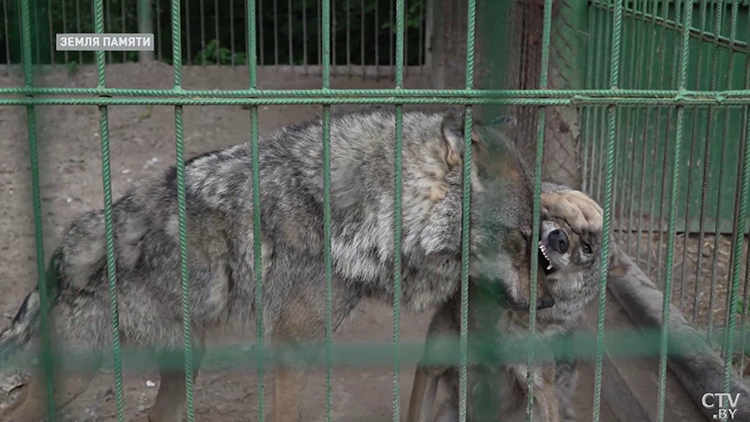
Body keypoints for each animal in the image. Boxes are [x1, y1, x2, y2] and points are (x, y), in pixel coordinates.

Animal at [406, 185, 604, 422]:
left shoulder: (543, 391)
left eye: (587, 248)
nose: (559, 239)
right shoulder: (431, 366)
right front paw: (568, 201)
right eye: (558, 220)